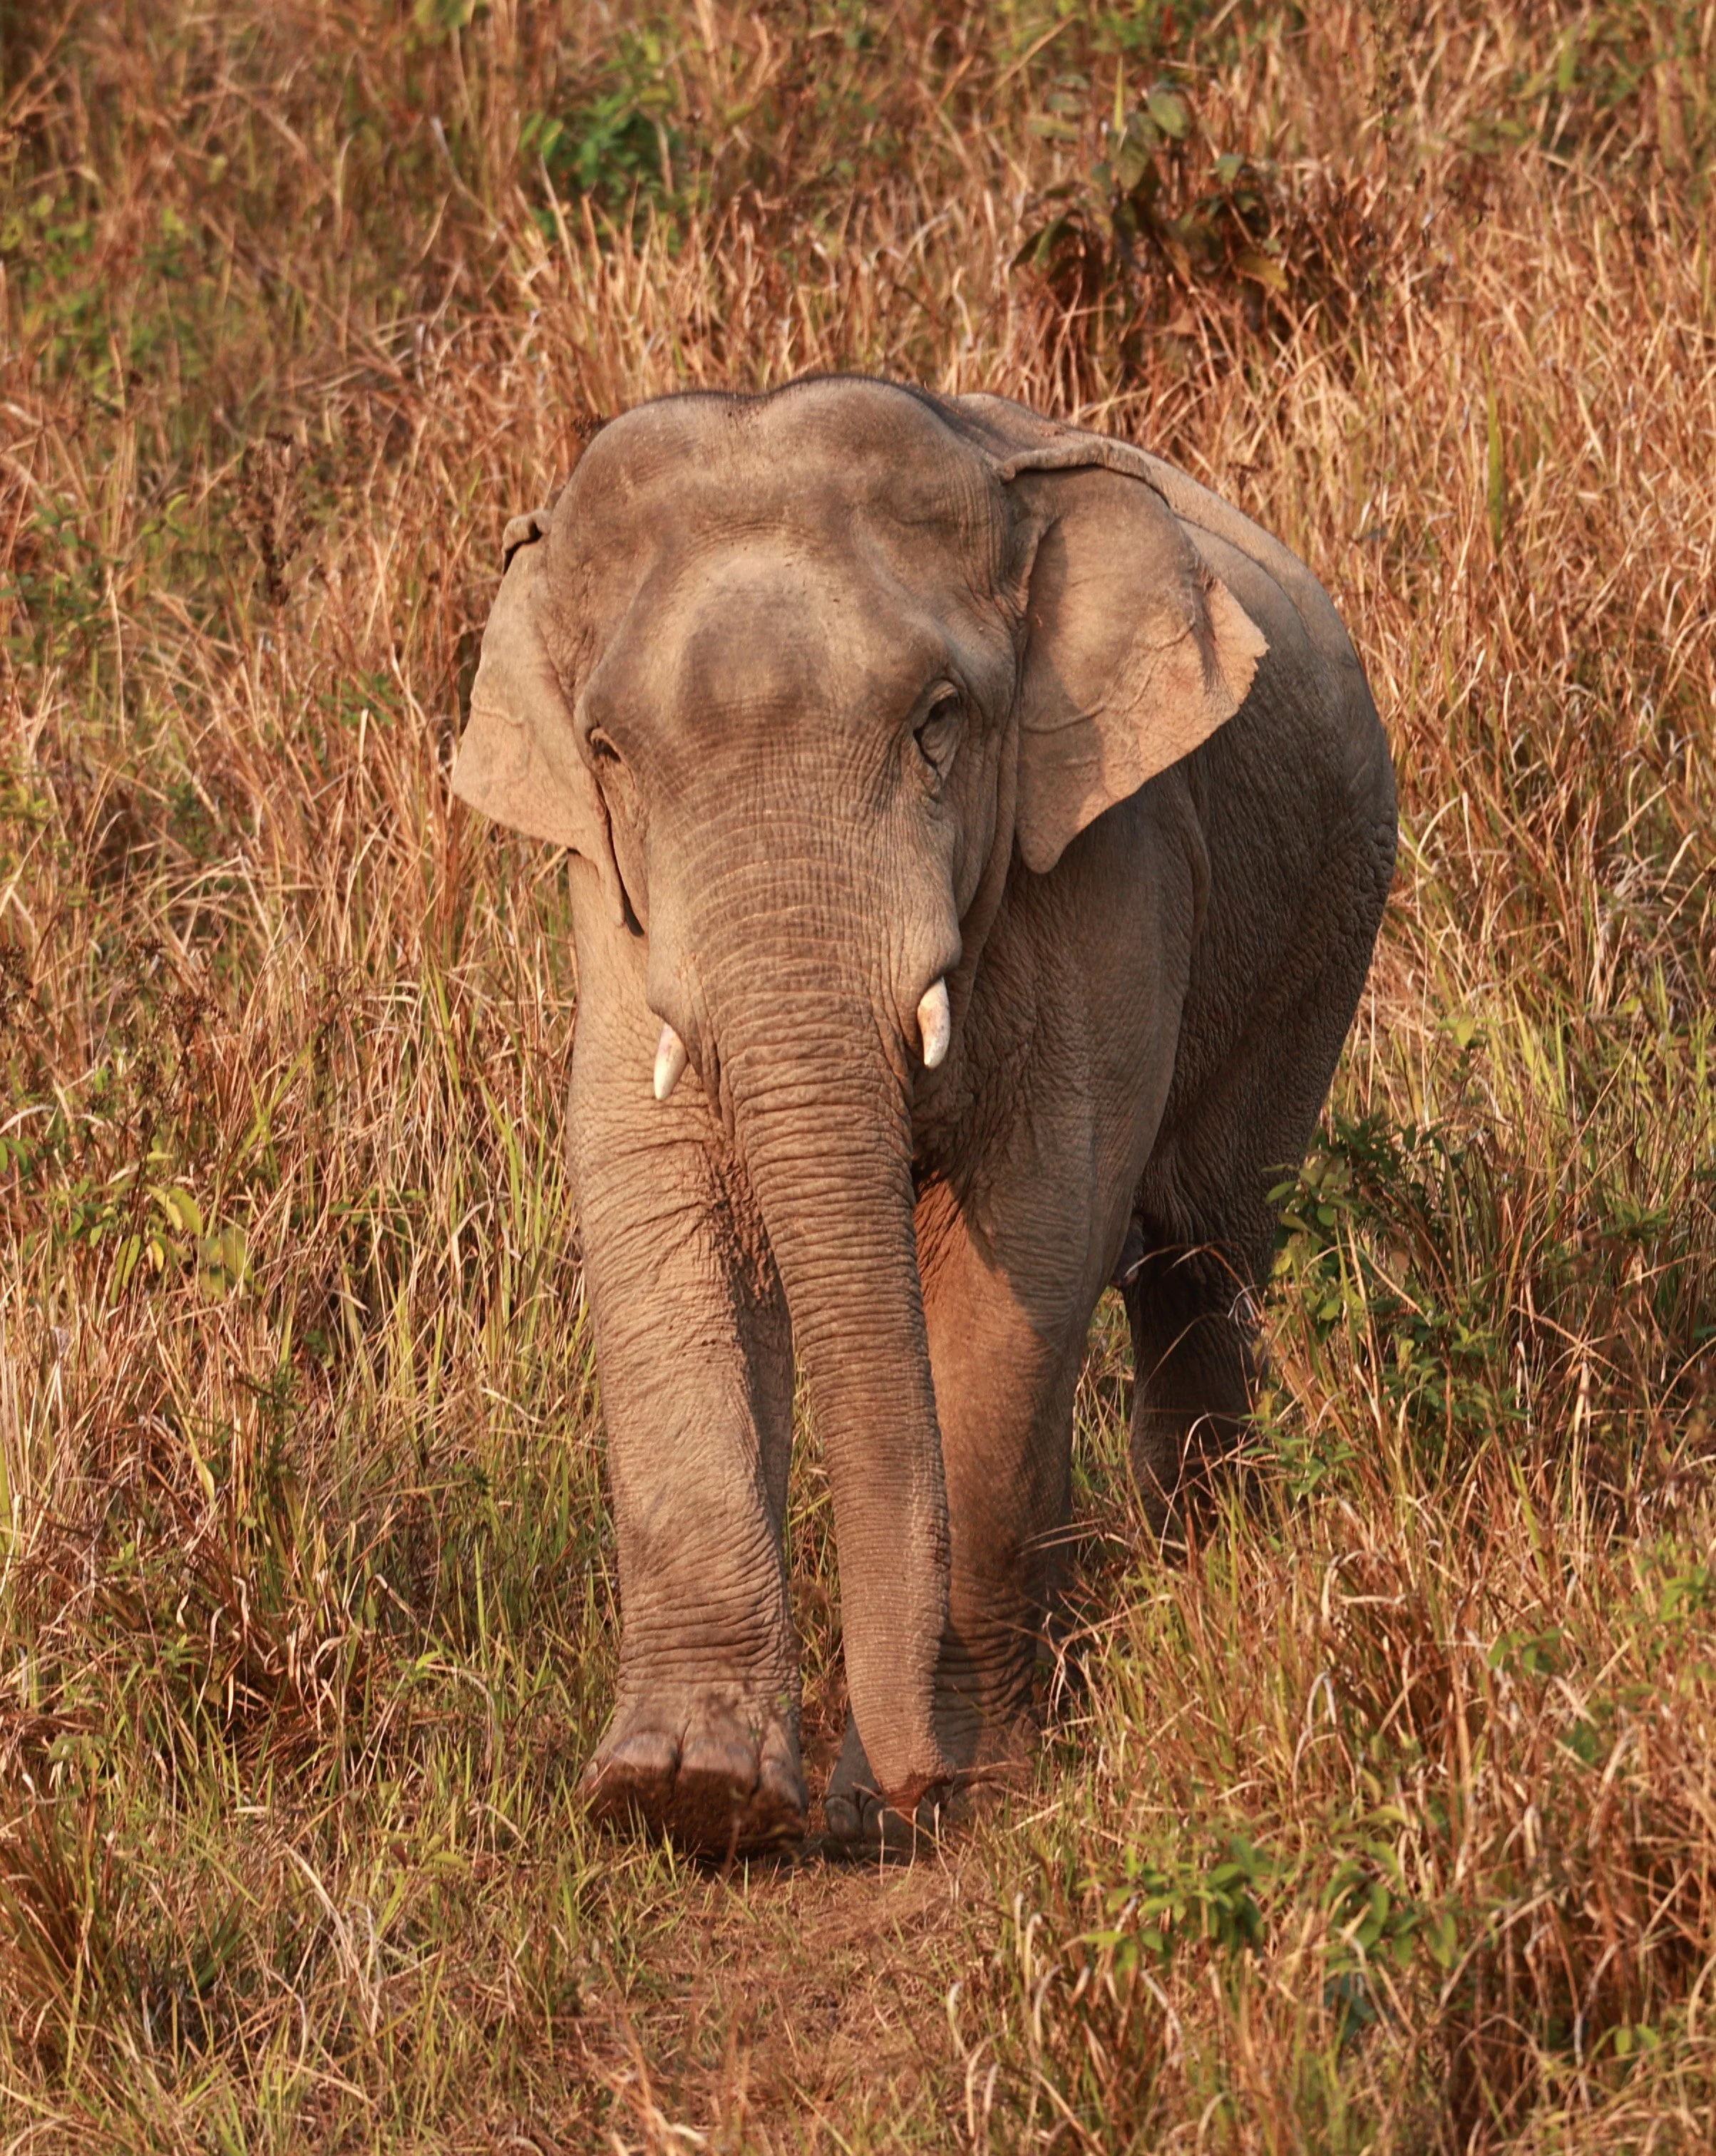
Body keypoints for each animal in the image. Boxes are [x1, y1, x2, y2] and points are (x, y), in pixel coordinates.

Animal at [450, 376, 1396, 1855]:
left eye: (938, 719)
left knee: (1205, 1252)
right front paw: (682, 1798)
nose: (894, 1794)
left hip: (1325, 921)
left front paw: (973, 1776)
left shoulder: (1104, 858)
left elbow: (1036, 1223)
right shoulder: (611, 907)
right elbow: (654, 1204)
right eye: (606, 752)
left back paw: (1196, 1574)